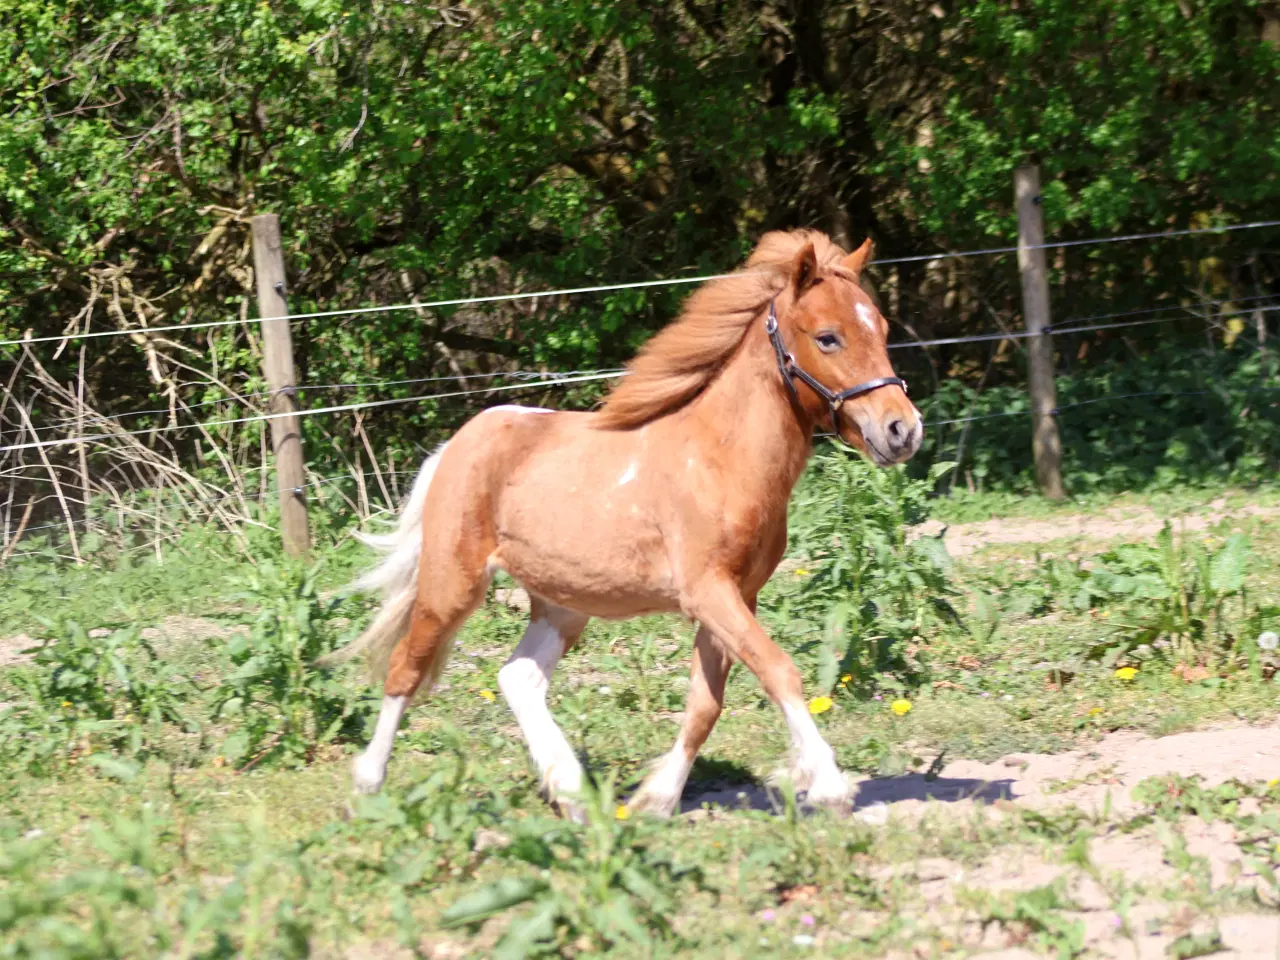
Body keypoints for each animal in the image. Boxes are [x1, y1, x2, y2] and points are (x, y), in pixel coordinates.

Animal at [322, 231, 921, 819]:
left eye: (882, 329)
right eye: (828, 338)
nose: (902, 430)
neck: (719, 458)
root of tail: (461, 441)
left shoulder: (736, 597)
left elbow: (705, 703)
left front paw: (656, 800)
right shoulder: (708, 591)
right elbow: (778, 670)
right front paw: (830, 786)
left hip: (563, 601)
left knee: (518, 676)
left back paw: (571, 792)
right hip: (453, 583)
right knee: (405, 668)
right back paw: (369, 787)